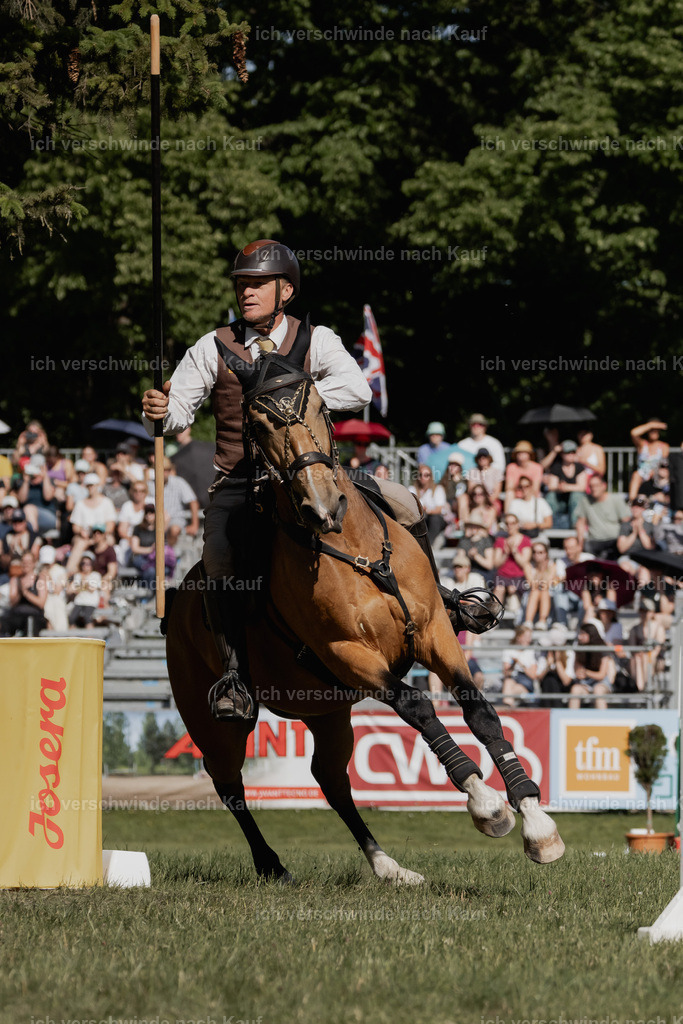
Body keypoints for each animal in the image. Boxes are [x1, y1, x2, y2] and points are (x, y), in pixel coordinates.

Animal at [165, 329, 564, 884]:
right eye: (257, 422)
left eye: (316, 405)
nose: (321, 506)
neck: (351, 546)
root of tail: (175, 603)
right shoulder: (349, 654)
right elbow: (418, 707)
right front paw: (485, 803)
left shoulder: (435, 633)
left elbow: (479, 710)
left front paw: (536, 821)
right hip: (215, 721)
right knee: (229, 783)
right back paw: (272, 864)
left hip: (327, 712)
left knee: (332, 782)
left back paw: (388, 866)